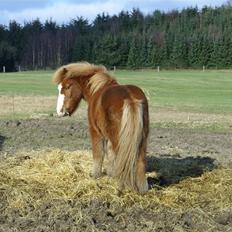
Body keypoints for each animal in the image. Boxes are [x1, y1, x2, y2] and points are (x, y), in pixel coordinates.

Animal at [53, 62, 150, 194]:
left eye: (67, 87)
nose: (60, 112)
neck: (97, 89)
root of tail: (130, 98)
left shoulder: (95, 132)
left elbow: (98, 154)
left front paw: (95, 175)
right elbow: (110, 154)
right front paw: (111, 173)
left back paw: (120, 187)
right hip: (142, 139)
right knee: (140, 161)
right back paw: (142, 189)